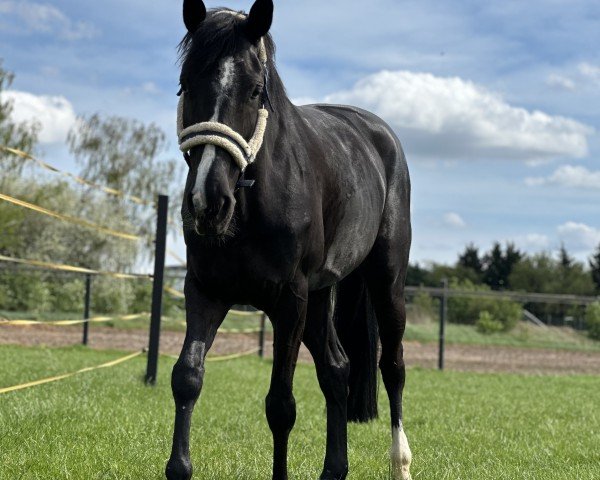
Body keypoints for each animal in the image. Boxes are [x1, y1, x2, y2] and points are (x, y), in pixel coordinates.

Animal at [168, 1, 412, 478]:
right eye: (186, 83)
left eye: (254, 91)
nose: (208, 201)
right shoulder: (204, 290)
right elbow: (187, 377)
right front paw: (178, 467)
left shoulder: (289, 299)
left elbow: (281, 404)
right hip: (320, 297)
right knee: (338, 369)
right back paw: (335, 468)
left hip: (385, 282)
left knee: (392, 366)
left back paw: (401, 463)